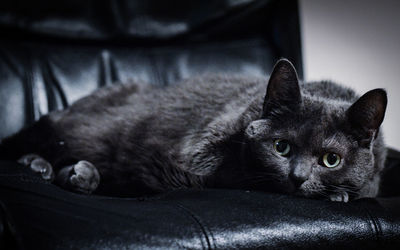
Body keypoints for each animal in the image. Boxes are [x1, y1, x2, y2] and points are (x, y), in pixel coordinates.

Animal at [0, 59, 388, 202]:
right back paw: (42, 165)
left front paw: (344, 192)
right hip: (77, 128)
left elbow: (368, 185)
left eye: (331, 159)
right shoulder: (197, 157)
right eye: (281, 147)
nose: (297, 178)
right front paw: (337, 195)